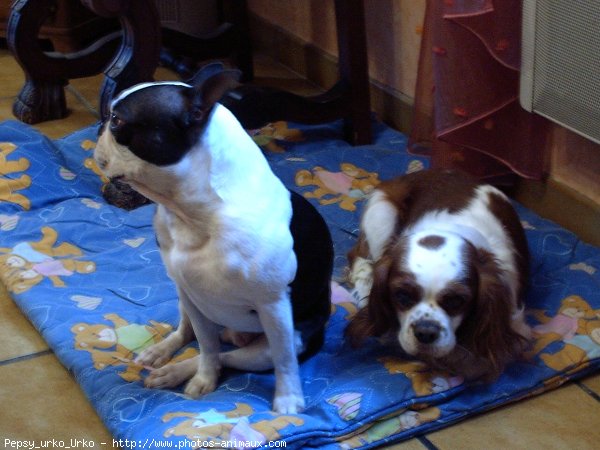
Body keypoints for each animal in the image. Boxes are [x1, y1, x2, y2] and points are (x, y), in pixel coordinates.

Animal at [96, 74, 336, 414]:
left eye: (117, 120)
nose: (99, 126)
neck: (196, 213)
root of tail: (234, 334)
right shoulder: (193, 295)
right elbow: (206, 346)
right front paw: (203, 379)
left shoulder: (274, 306)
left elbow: (284, 360)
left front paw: (288, 399)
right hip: (184, 295)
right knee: (191, 334)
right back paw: (164, 357)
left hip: (282, 339)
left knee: (236, 356)